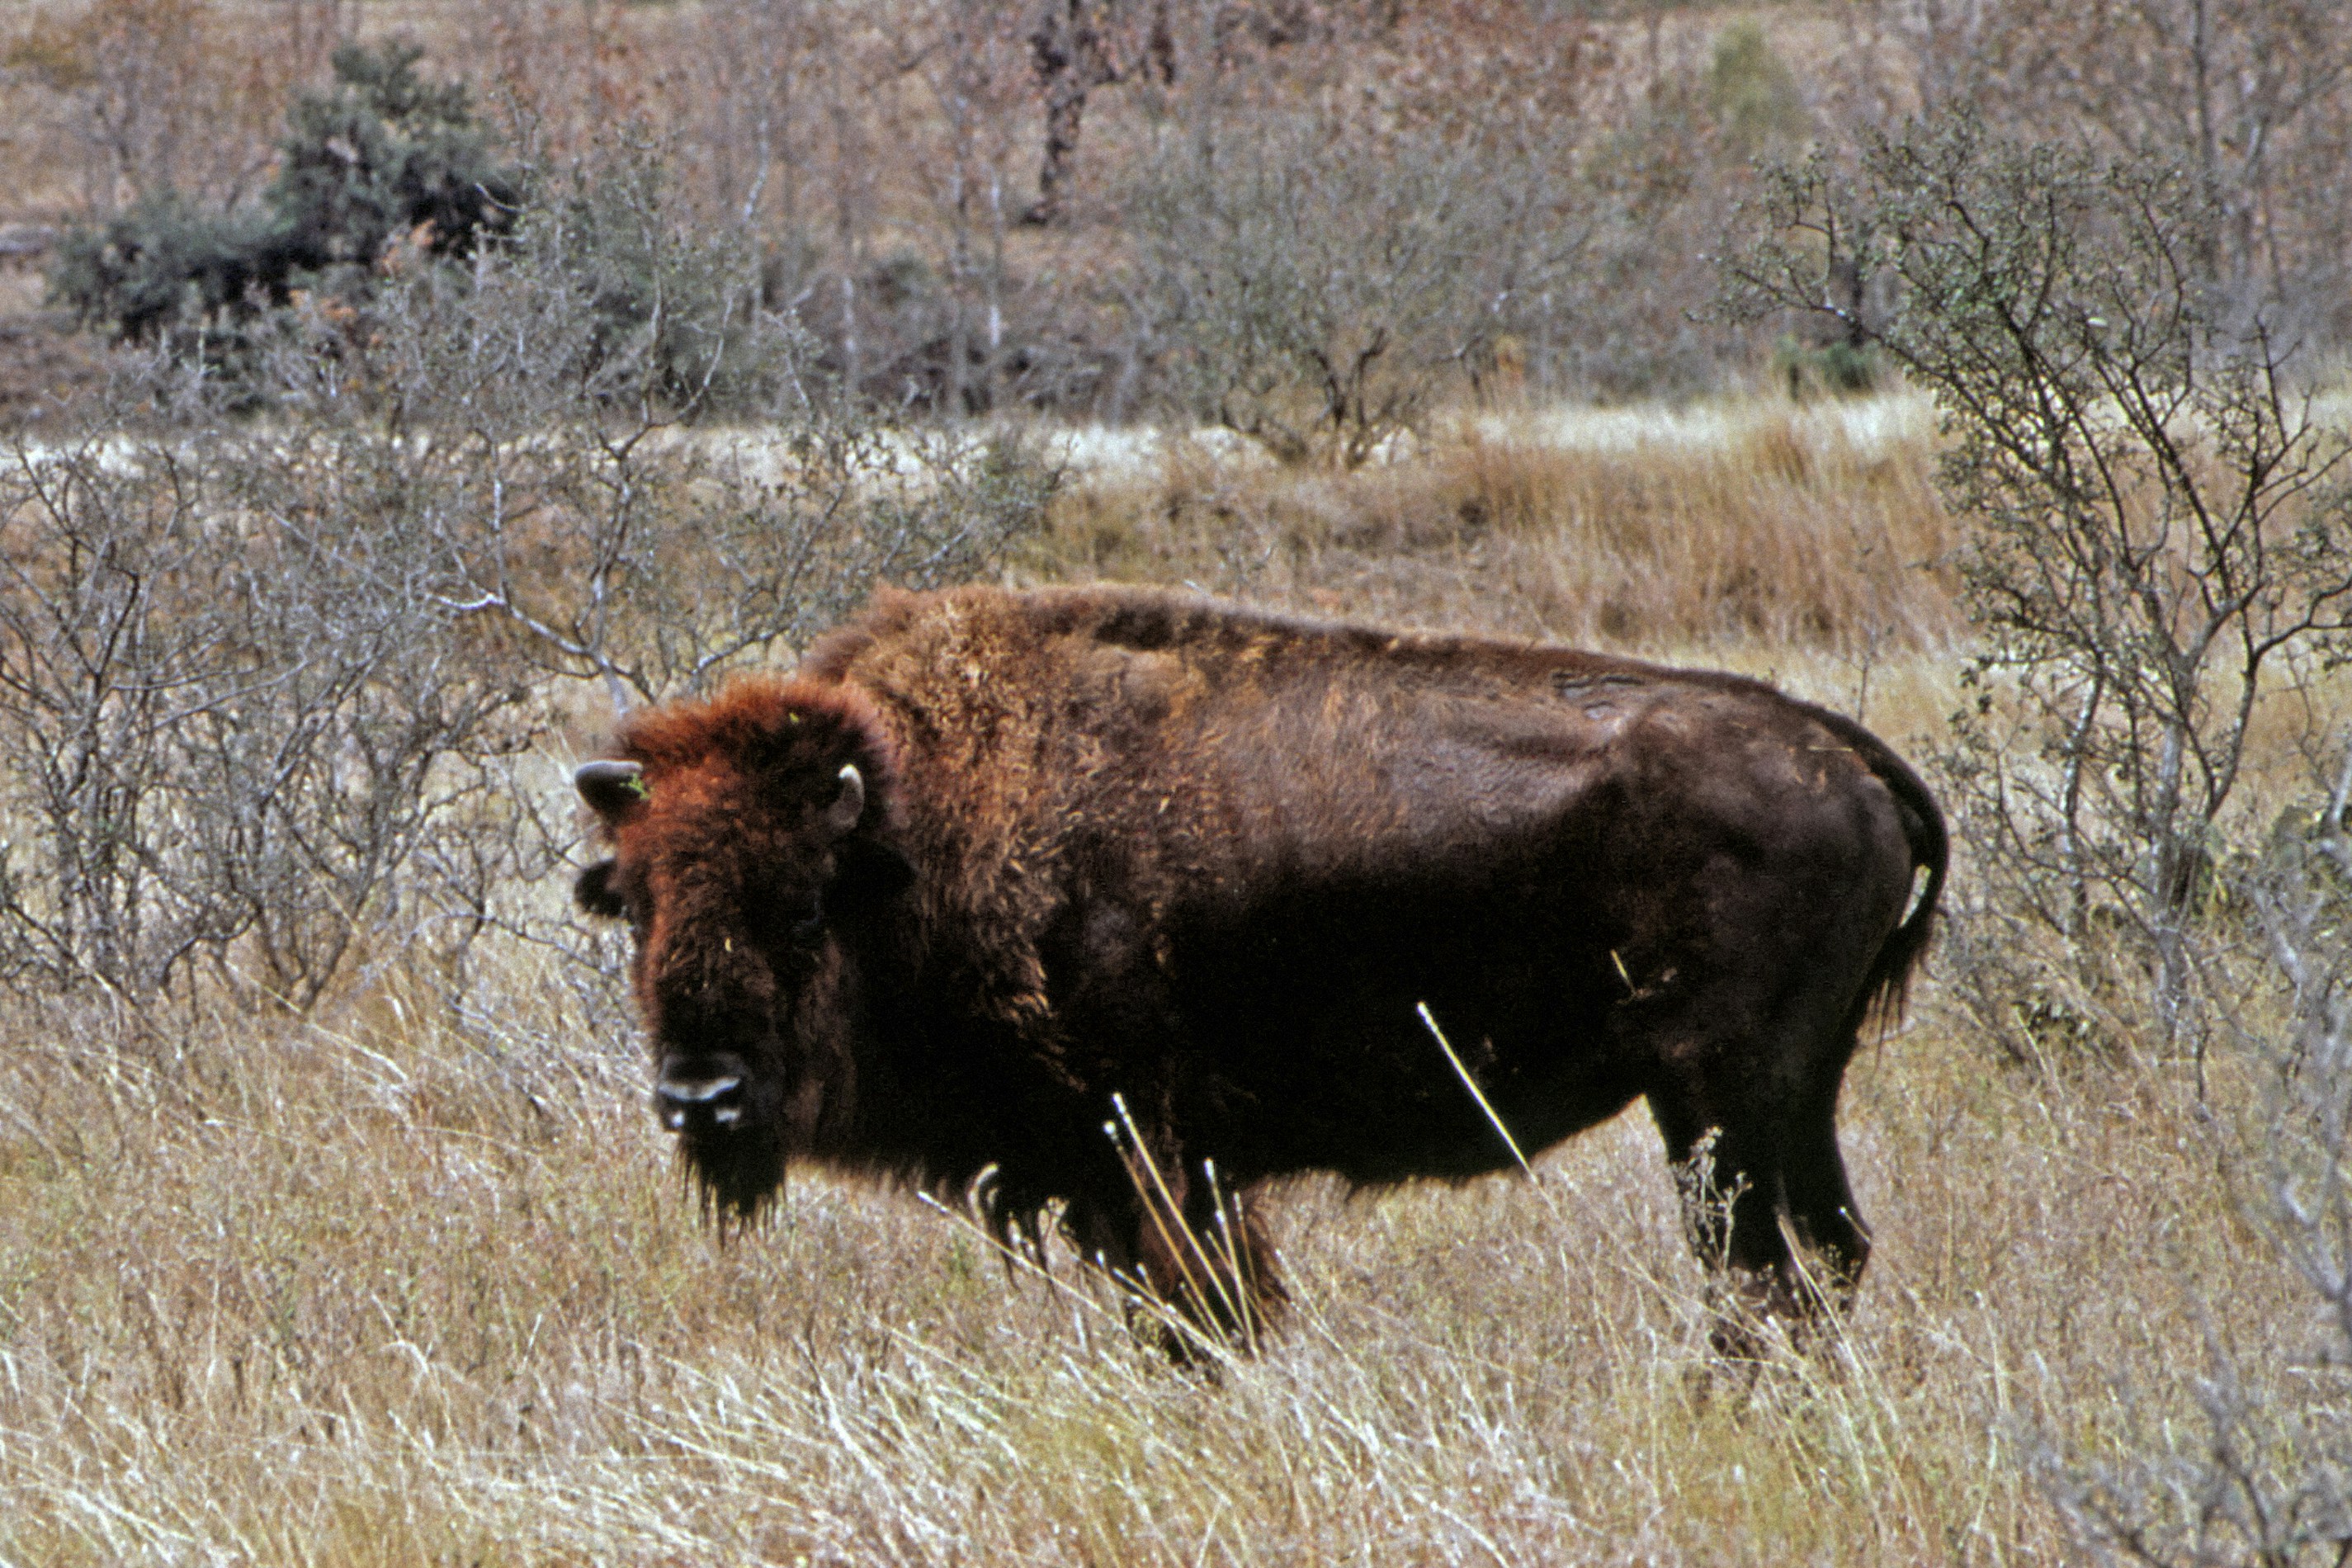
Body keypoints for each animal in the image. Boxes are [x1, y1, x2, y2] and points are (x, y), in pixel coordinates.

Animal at [574, 584, 1945, 1344]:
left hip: (1714, 1099)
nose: (700, 1097)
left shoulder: (1155, 1154)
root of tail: (1843, 754)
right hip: (1787, 1098)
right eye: (634, 904)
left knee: (1758, 1277)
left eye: (802, 907)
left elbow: (1200, 1313)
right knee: (1823, 1257)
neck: (919, 827)